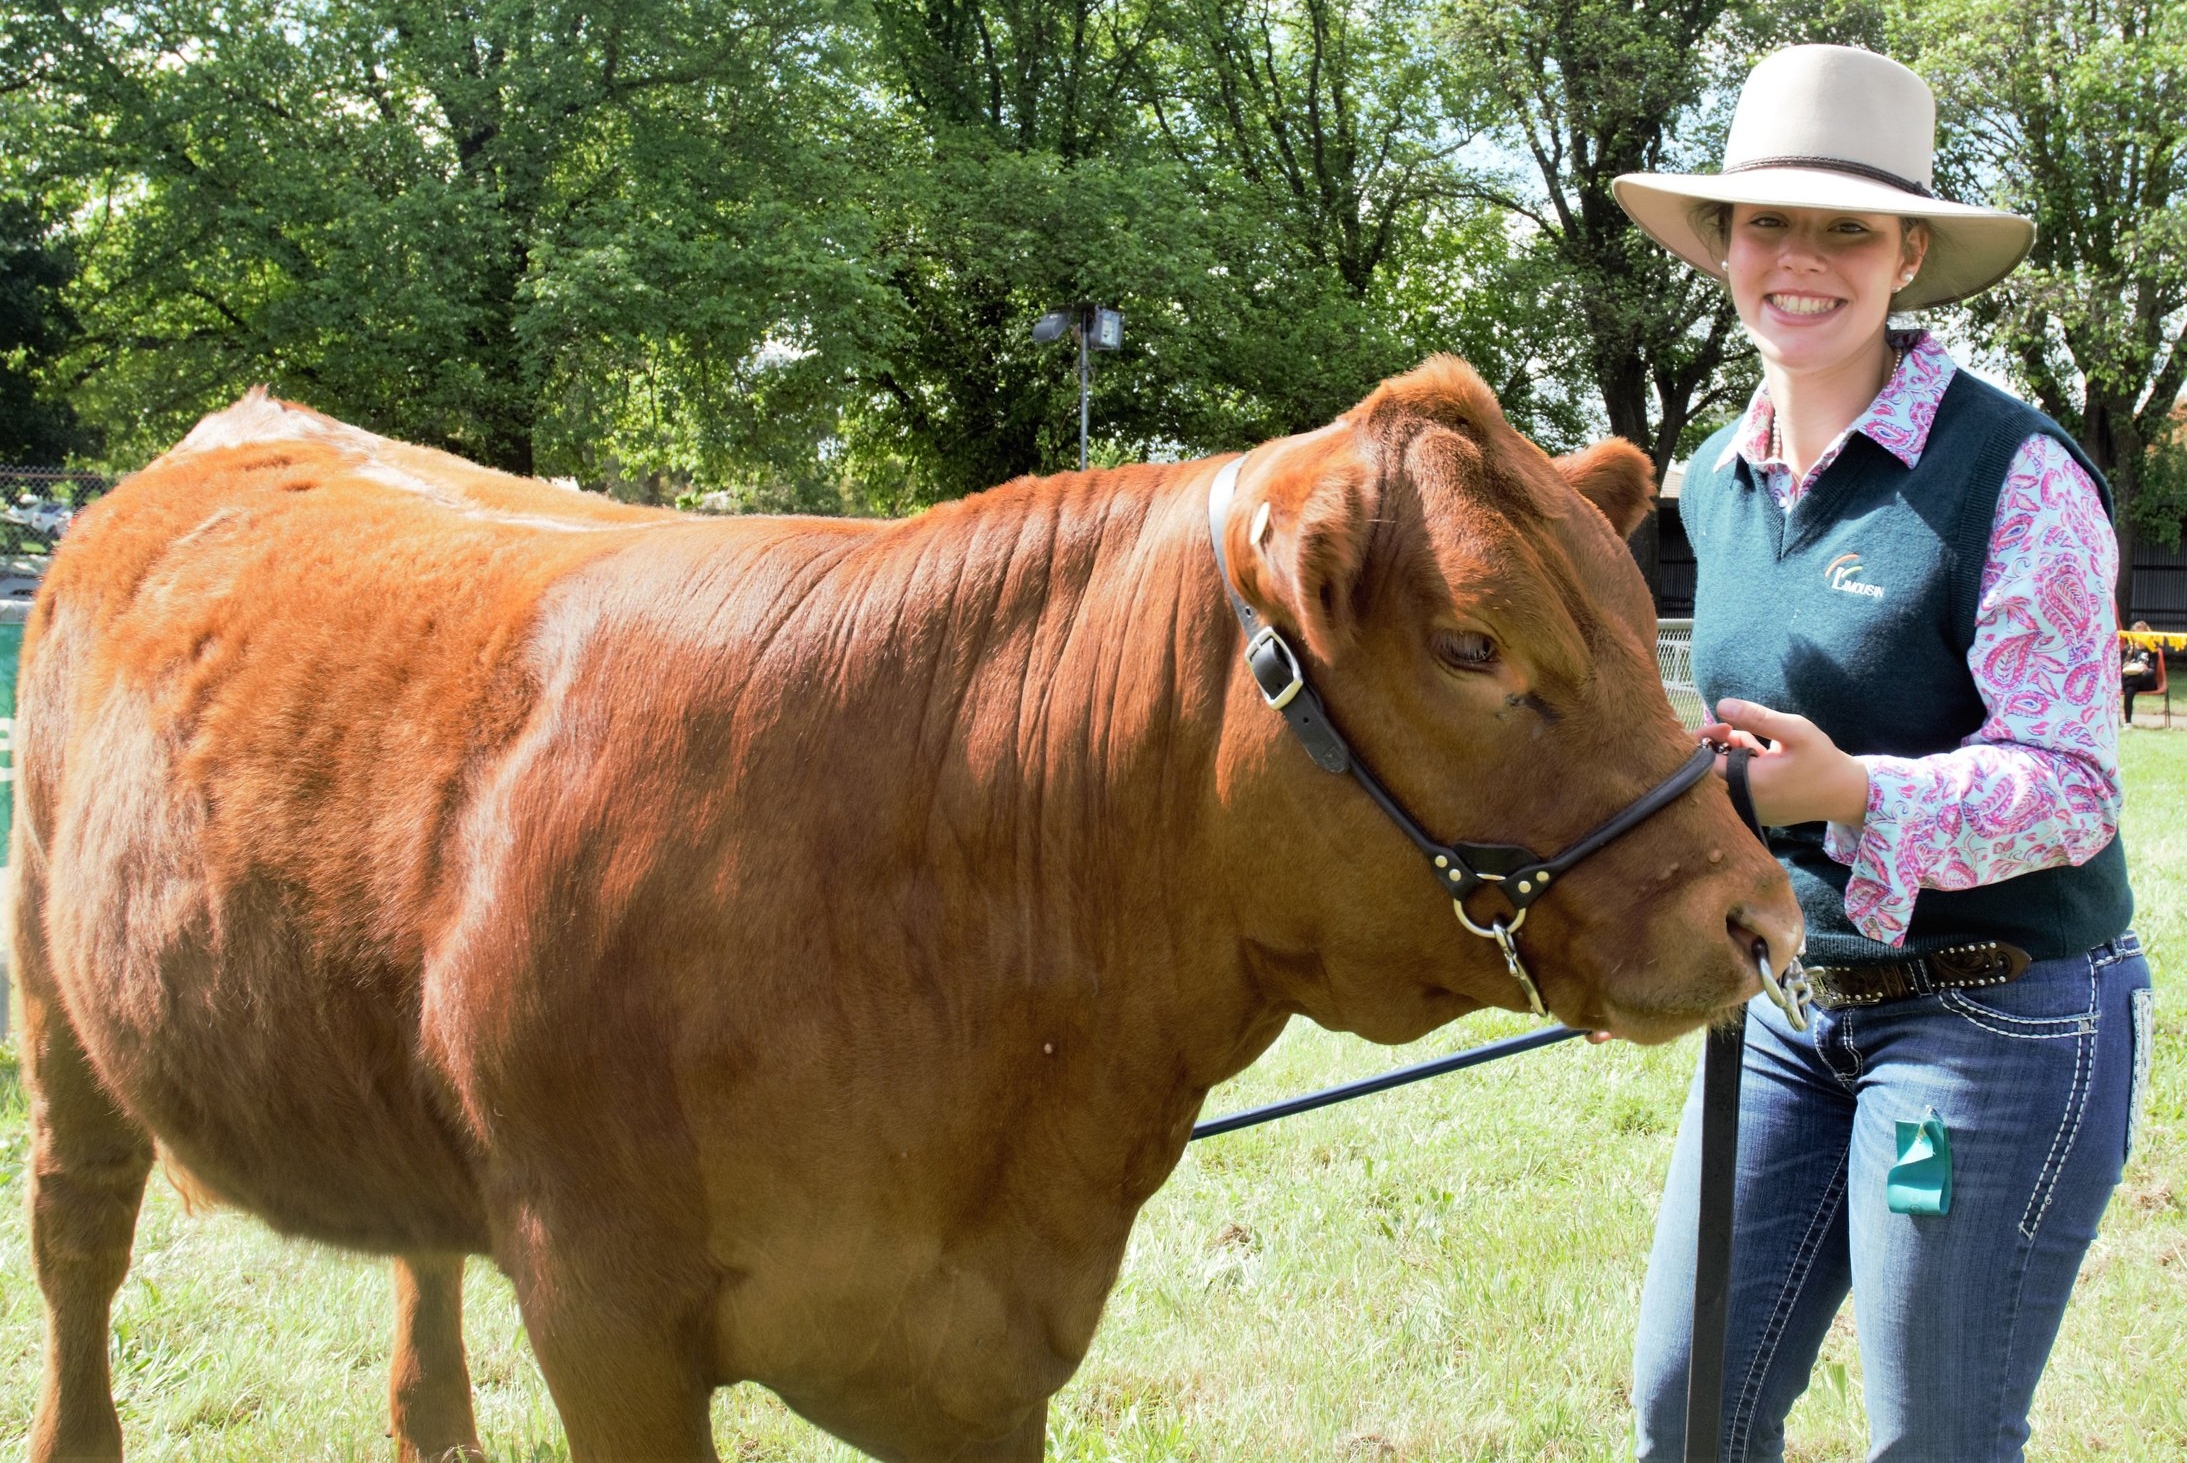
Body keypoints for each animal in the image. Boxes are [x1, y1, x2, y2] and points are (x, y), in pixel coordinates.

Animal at [12, 356, 1793, 1460]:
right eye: (1473, 644)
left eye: (1636, 610)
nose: (1756, 914)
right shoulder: (603, 1311)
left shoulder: (986, 1346)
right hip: (56, 993)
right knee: (79, 1240)